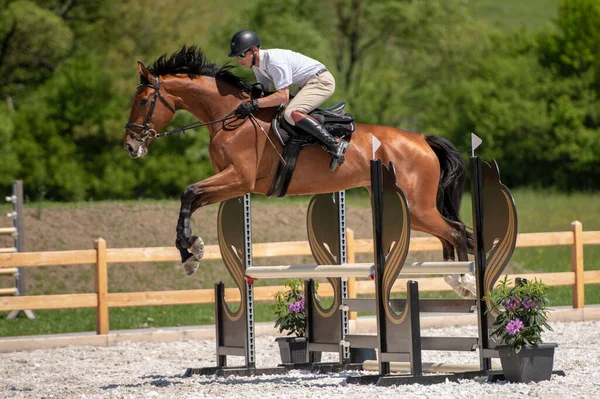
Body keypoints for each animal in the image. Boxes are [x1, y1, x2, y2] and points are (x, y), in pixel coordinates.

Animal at [123, 46, 474, 296]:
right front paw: (189, 253)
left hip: (416, 207)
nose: (130, 146)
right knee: (451, 234)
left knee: (457, 232)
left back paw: (464, 280)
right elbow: (190, 199)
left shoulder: (239, 180)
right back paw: (456, 279)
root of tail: (422, 139)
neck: (229, 117)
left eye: (143, 100)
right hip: (409, 208)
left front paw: (192, 251)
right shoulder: (231, 183)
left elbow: (189, 192)